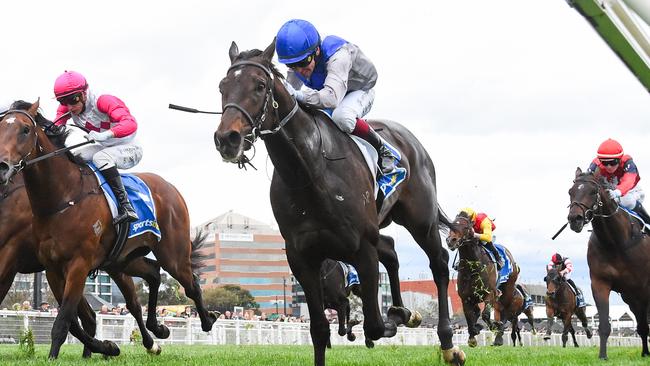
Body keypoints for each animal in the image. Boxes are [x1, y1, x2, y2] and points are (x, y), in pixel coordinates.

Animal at [0, 101, 216, 358]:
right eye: (0, 126)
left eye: (25, 129)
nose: (2, 166)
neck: (63, 198)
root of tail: (171, 188)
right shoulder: (52, 268)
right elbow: (72, 321)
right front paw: (106, 347)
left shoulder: (77, 264)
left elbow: (64, 319)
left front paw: (59, 356)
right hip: (121, 260)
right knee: (150, 278)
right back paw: (155, 333)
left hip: (172, 254)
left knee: (191, 284)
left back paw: (207, 320)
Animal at [215, 40, 464, 366]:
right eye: (222, 87)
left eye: (259, 85)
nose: (227, 139)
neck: (310, 171)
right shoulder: (302, 257)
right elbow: (320, 330)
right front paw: (398, 312)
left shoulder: (362, 247)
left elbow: (374, 324)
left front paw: (394, 318)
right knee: (391, 249)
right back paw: (402, 309)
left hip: (420, 220)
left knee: (438, 264)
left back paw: (447, 343)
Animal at [446, 212, 532, 346]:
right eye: (451, 226)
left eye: (466, 227)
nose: (451, 241)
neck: (473, 268)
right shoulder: (465, 297)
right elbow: (469, 316)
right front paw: (473, 335)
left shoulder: (490, 293)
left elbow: (485, 315)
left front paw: (493, 326)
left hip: (508, 292)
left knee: (506, 313)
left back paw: (499, 336)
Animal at [564, 167, 644, 358]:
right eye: (570, 191)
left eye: (593, 192)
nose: (575, 219)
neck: (616, 242)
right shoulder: (600, 283)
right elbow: (604, 325)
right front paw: (602, 356)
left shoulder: (643, 285)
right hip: (630, 296)